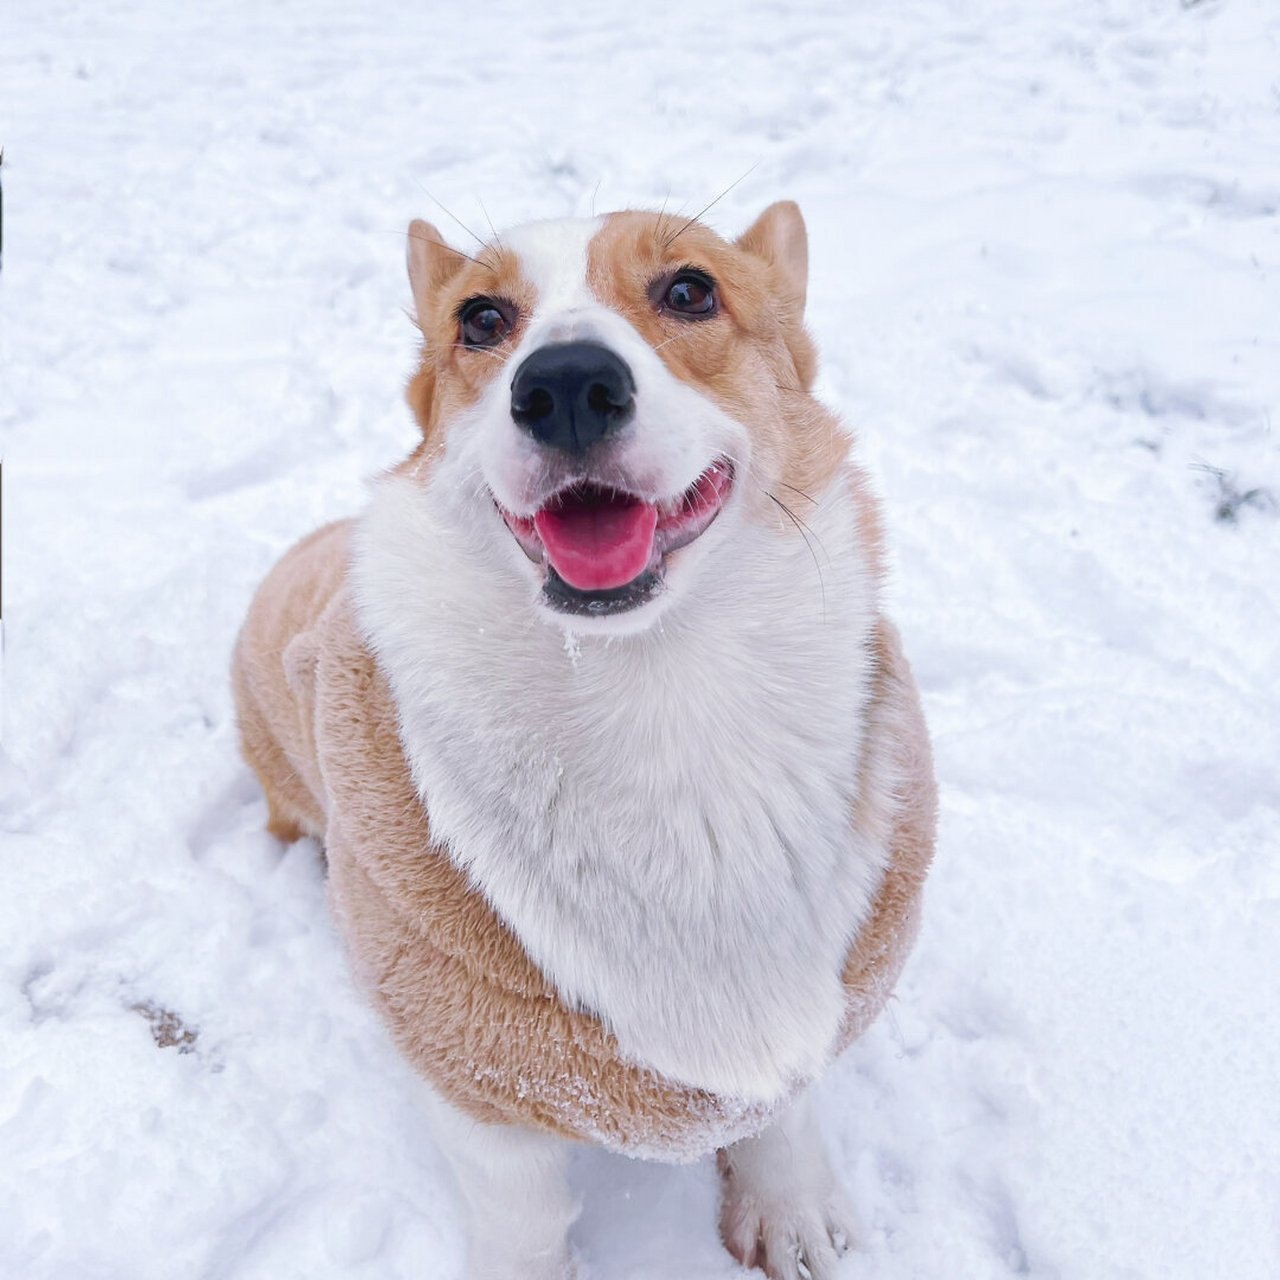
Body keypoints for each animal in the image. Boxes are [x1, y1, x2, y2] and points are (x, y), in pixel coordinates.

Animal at [235, 202, 942, 1280]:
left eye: (690, 289)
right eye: (481, 318)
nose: (564, 385)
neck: (653, 691)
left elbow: (783, 1108)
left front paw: (792, 1212)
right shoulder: (476, 1085)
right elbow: (523, 1220)